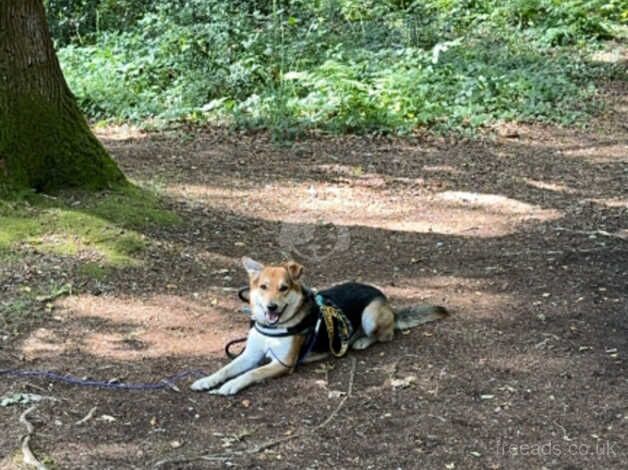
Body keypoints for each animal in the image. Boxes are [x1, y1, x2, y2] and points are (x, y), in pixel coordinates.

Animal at [191, 258, 446, 394]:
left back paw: (362, 340)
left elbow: (251, 373)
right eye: (263, 287)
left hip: (370, 315)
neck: (274, 328)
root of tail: (387, 302)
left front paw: (231, 386)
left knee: (386, 335)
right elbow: (225, 369)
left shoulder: (282, 363)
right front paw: (207, 380)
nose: (272, 307)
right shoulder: (249, 355)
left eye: (284, 288)